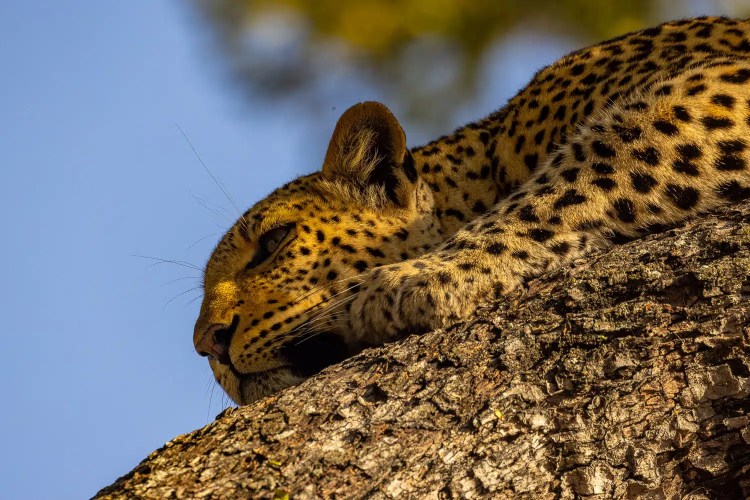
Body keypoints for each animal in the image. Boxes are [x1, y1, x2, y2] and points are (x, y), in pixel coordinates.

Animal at [194, 16, 750, 405]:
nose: (208, 346)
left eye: (273, 243)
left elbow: (583, 168)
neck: (490, 162)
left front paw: (414, 281)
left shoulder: (715, 82)